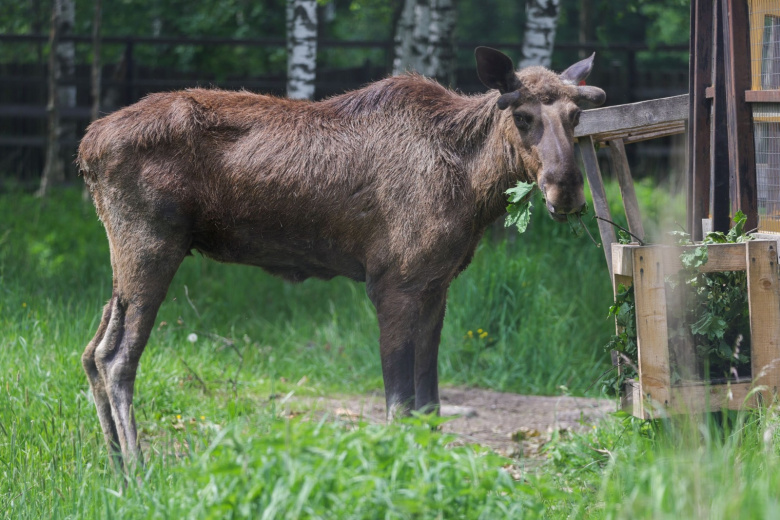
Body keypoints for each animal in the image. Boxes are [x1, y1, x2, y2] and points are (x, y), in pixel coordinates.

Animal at [78, 47, 605, 470]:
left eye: (576, 117)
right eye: (523, 117)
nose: (567, 192)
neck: (474, 188)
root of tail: (86, 149)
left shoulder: (437, 286)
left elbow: (430, 404)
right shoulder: (392, 283)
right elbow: (399, 405)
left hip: (125, 261)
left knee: (92, 349)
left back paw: (113, 465)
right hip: (150, 246)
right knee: (117, 358)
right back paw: (137, 469)